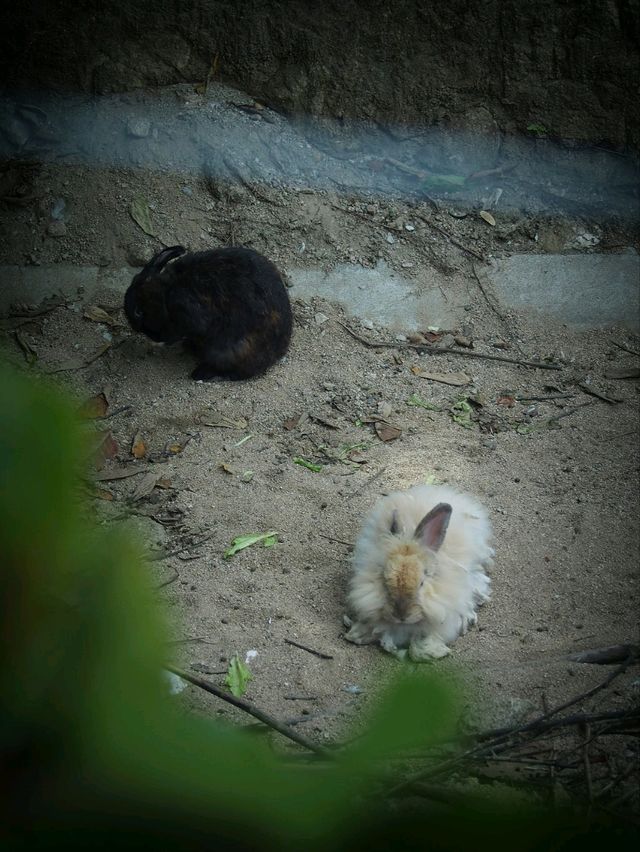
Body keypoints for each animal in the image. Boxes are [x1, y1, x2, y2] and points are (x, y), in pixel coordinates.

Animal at [124, 245, 292, 382]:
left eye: (139, 312)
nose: (153, 337)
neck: (166, 290)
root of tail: (278, 352)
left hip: (226, 351)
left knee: (240, 372)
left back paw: (202, 374)